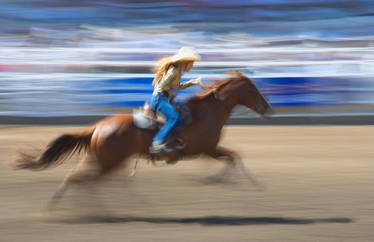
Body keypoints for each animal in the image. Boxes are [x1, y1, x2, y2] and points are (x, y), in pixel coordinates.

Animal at [13, 71, 272, 209]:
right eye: (253, 89)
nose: (267, 107)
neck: (208, 112)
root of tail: (98, 126)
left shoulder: (209, 150)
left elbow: (234, 157)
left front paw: (241, 182)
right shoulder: (208, 149)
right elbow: (233, 157)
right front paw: (216, 180)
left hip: (105, 159)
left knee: (86, 179)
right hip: (108, 162)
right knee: (81, 179)